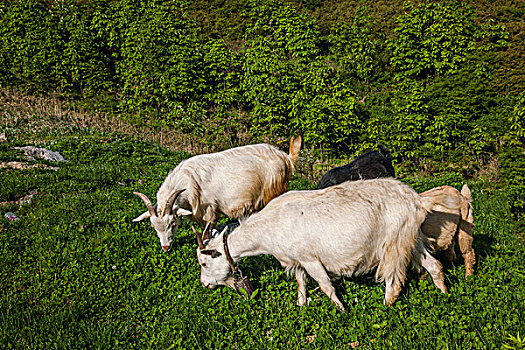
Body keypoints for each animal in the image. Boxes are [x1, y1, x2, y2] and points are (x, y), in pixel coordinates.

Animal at [133, 135, 300, 252]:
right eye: (153, 226)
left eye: (173, 223)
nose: (166, 248)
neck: (188, 179)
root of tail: (286, 158)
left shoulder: (208, 210)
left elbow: (208, 231)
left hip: (273, 191)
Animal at [194, 179, 456, 310]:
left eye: (204, 263)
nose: (204, 284)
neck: (271, 226)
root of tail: (416, 199)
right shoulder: (297, 260)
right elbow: (301, 283)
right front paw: (301, 307)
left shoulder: (310, 259)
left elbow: (325, 285)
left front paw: (342, 310)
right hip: (412, 239)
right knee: (434, 265)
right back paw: (444, 295)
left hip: (393, 243)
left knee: (394, 279)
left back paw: (386, 306)